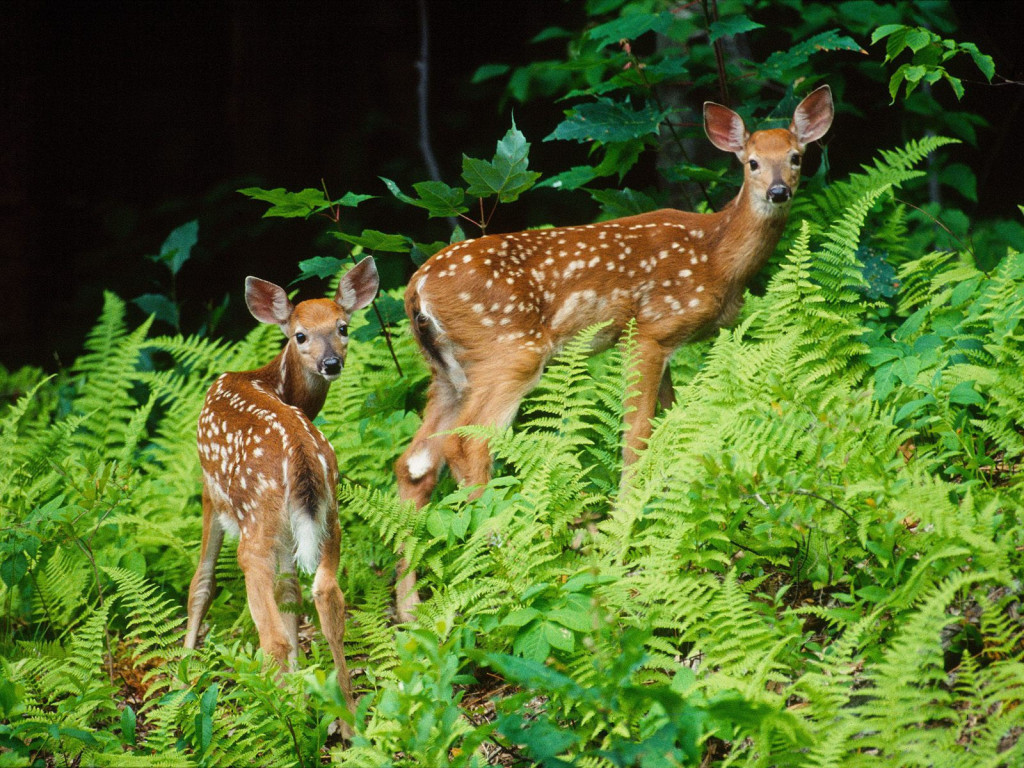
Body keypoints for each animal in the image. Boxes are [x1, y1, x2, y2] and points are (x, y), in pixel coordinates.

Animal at [184, 259, 380, 720]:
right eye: (300, 335)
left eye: (343, 327)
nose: (331, 362)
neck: (269, 380)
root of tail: (302, 454)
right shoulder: (295, 529)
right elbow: (291, 593)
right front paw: (300, 689)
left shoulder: (209, 489)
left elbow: (201, 583)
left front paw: (180, 679)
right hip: (330, 513)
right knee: (326, 597)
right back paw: (348, 720)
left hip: (255, 519)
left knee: (269, 632)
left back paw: (283, 717)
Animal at [391, 87, 831, 622]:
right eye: (750, 162)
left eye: (796, 156)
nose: (778, 192)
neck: (716, 258)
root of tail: (416, 289)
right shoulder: (649, 329)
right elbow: (637, 437)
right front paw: (625, 540)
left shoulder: (665, 344)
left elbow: (673, 427)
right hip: (509, 350)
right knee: (467, 445)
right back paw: (509, 567)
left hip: (447, 372)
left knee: (414, 463)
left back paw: (411, 611)